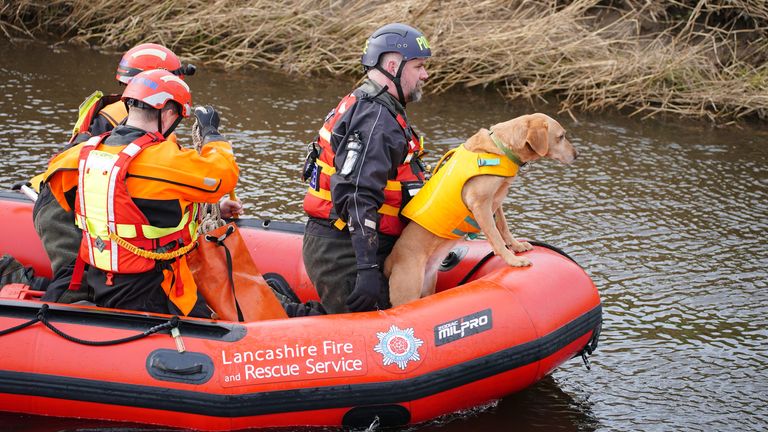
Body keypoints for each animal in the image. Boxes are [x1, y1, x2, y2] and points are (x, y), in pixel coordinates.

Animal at [384, 113, 576, 306]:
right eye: (561, 136)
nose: (577, 155)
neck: (501, 148)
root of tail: (391, 259)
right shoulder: (480, 204)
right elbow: (496, 238)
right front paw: (513, 260)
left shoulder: (497, 202)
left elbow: (504, 228)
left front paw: (517, 246)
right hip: (408, 292)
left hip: (428, 286)